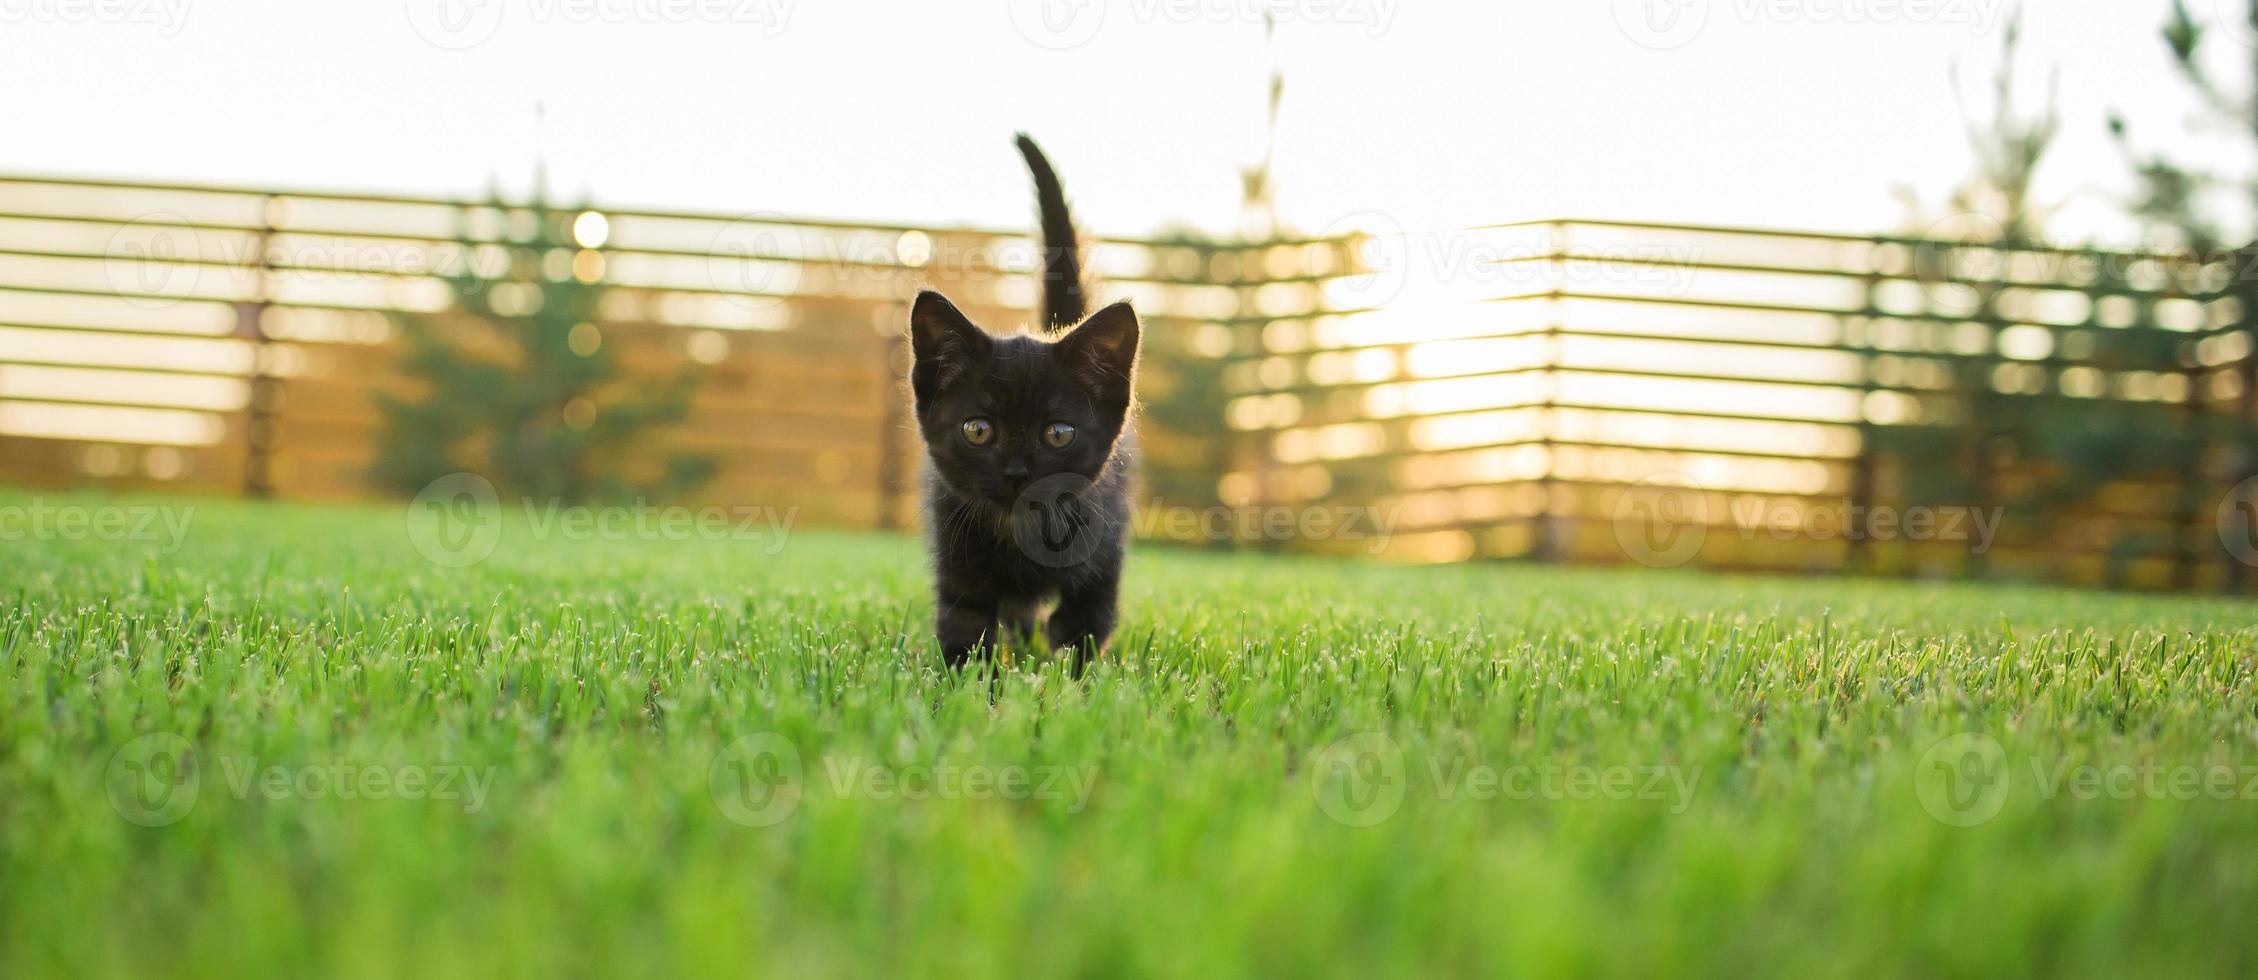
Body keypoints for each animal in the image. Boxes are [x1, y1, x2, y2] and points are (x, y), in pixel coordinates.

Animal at [907, 133, 1138, 672]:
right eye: (977, 430)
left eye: (1059, 433)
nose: (1016, 473)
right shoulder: (957, 558)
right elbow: (966, 630)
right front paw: (969, 684)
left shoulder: (1102, 556)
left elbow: (1084, 627)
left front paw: (1078, 683)